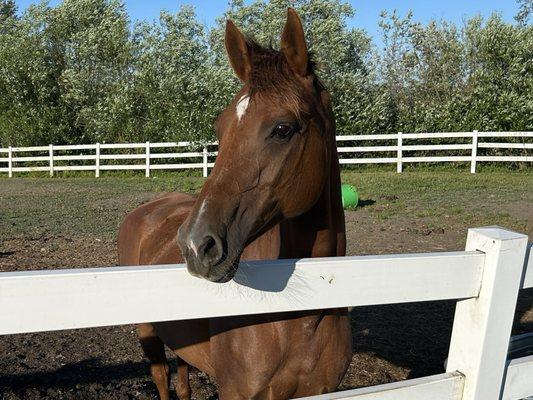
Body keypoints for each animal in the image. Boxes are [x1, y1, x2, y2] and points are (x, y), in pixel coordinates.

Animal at [120, 9, 352, 400]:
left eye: (283, 129)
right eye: (221, 127)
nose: (196, 245)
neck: (302, 314)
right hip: (147, 331)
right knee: (161, 378)